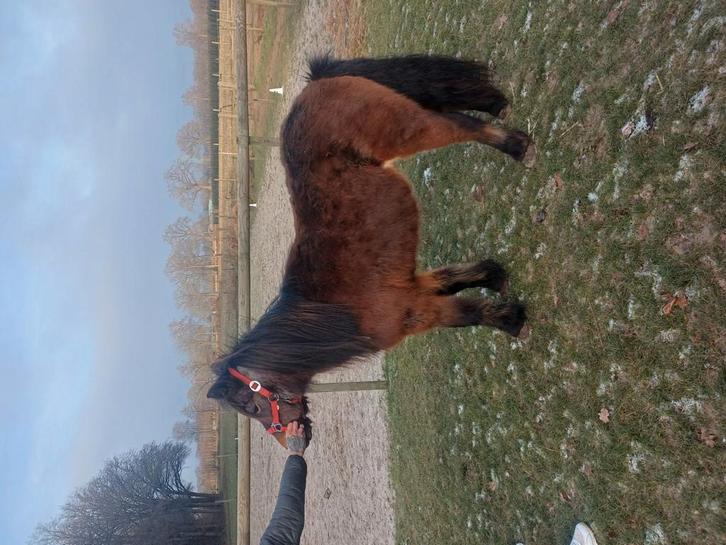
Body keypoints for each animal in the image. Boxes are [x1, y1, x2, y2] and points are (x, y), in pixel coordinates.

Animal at [207, 55, 534, 447]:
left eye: (251, 406)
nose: (295, 443)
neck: (335, 311)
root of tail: (316, 83)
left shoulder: (418, 310)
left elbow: (470, 313)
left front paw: (513, 322)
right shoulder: (416, 286)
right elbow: (457, 278)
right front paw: (495, 277)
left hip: (410, 128)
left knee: (462, 126)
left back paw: (518, 147)